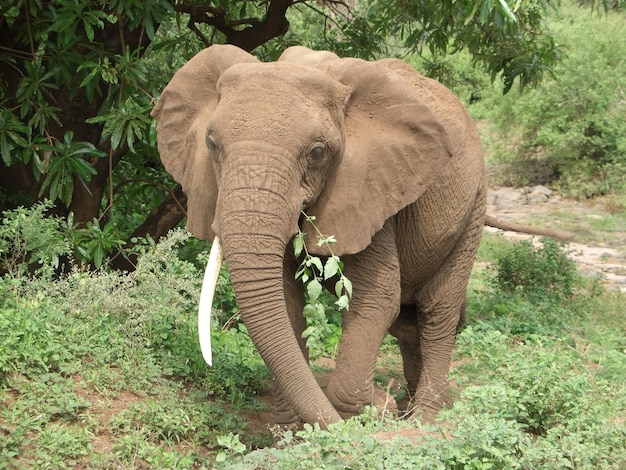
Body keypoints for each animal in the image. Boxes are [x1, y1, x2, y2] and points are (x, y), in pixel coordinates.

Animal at [151, 45, 488, 430]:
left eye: (317, 153)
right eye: (210, 144)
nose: (382, 403)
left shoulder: (368, 190)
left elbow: (376, 297)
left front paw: (357, 419)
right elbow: (284, 301)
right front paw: (292, 432)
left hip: (474, 207)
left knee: (437, 311)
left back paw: (425, 419)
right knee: (407, 323)